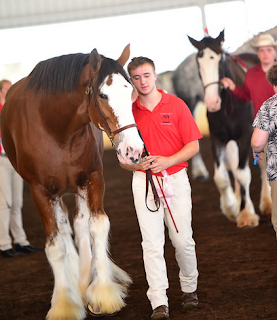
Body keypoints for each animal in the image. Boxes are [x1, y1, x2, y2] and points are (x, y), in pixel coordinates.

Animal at [0, 43, 142, 318]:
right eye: (103, 95)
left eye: (130, 91)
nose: (133, 150)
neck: (57, 128)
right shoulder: (41, 192)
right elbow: (55, 246)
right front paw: (65, 303)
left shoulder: (92, 180)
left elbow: (97, 226)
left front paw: (102, 293)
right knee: (65, 231)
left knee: (80, 225)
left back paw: (85, 280)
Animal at [185, 29, 260, 225]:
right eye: (199, 63)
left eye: (220, 60)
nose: (212, 102)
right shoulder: (218, 138)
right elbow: (221, 177)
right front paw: (232, 208)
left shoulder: (245, 135)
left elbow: (243, 174)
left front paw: (247, 214)